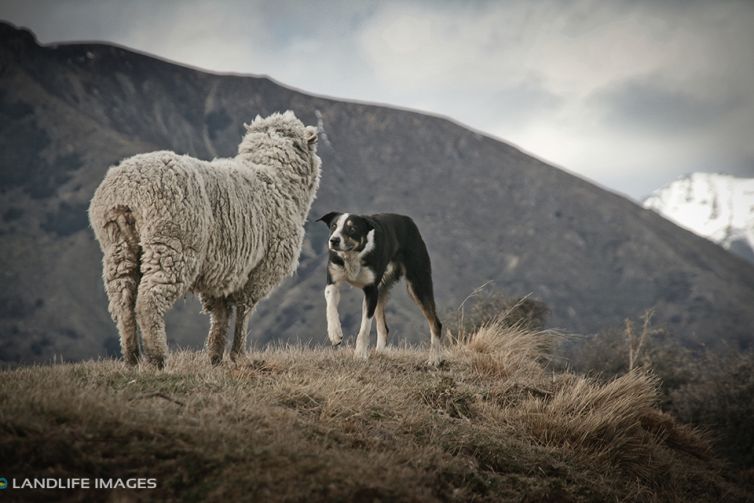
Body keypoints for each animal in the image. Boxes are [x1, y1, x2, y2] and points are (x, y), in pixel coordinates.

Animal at [89, 112, 320, 368]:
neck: (274, 176)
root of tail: (128, 191)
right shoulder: (259, 272)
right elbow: (243, 312)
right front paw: (239, 355)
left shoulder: (220, 270)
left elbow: (220, 314)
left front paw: (215, 357)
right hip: (173, 245)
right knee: (149, 300)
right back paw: (157, 358)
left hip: (118, 247)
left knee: (123, 301)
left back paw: (132, 358)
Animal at [316, 211, 440, 364]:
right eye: (333, 226)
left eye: (352, 228)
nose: (333, 240)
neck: (353, 254)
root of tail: (407, 220)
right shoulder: (332, 282)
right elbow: (331, 307)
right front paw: (335, 333)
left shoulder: (371, 291)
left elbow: (364, 328)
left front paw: (360, 355)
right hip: (382, 289)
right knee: (383, 327)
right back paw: (379, 353)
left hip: (417, 284)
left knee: (435, 323)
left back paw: (434, 359)